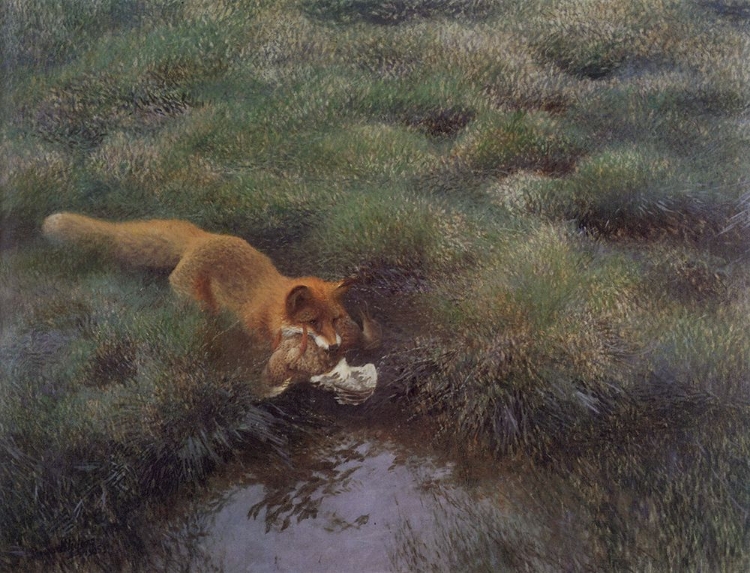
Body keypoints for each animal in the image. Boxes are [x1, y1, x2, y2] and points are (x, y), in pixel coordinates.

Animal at [41, 212, 379, 357]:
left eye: (334, 319)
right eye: (312, 322)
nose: (335, 347)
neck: (270, 309)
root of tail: (201, 238)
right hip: (200, 308)